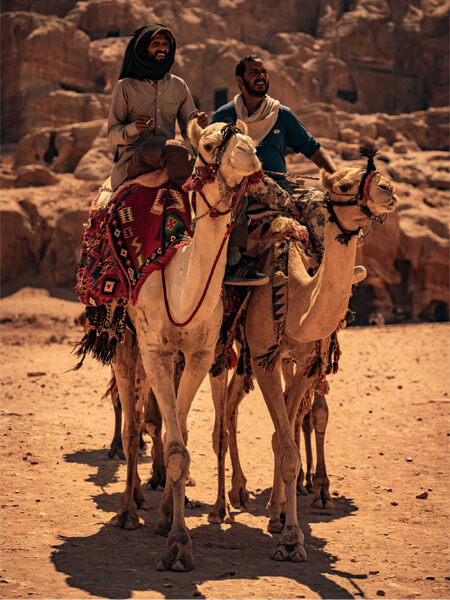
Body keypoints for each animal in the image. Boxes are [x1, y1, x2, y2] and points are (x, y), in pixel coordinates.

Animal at [109, 118, 262, 572]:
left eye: (248, 138)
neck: (178, 287)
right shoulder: (155, 350)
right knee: (130, 427)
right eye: (209, 144)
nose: (250, 152)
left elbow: (182, 439)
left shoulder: (198, 354)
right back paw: (128, 509)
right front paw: (177, 546)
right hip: (124, 339)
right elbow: (171, 442)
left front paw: (170, 526)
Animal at [207, 151, 398, 564]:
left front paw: (280, 517)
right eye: (343, 183)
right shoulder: (264, 358)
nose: (388, 189)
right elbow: (287, 445)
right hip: (219, 344)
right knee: (219, 418)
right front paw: (292, 540)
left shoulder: (304, 364)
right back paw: (218, 505)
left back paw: (242, 492)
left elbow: (285, 437)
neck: (295, 293)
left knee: (234, 408)